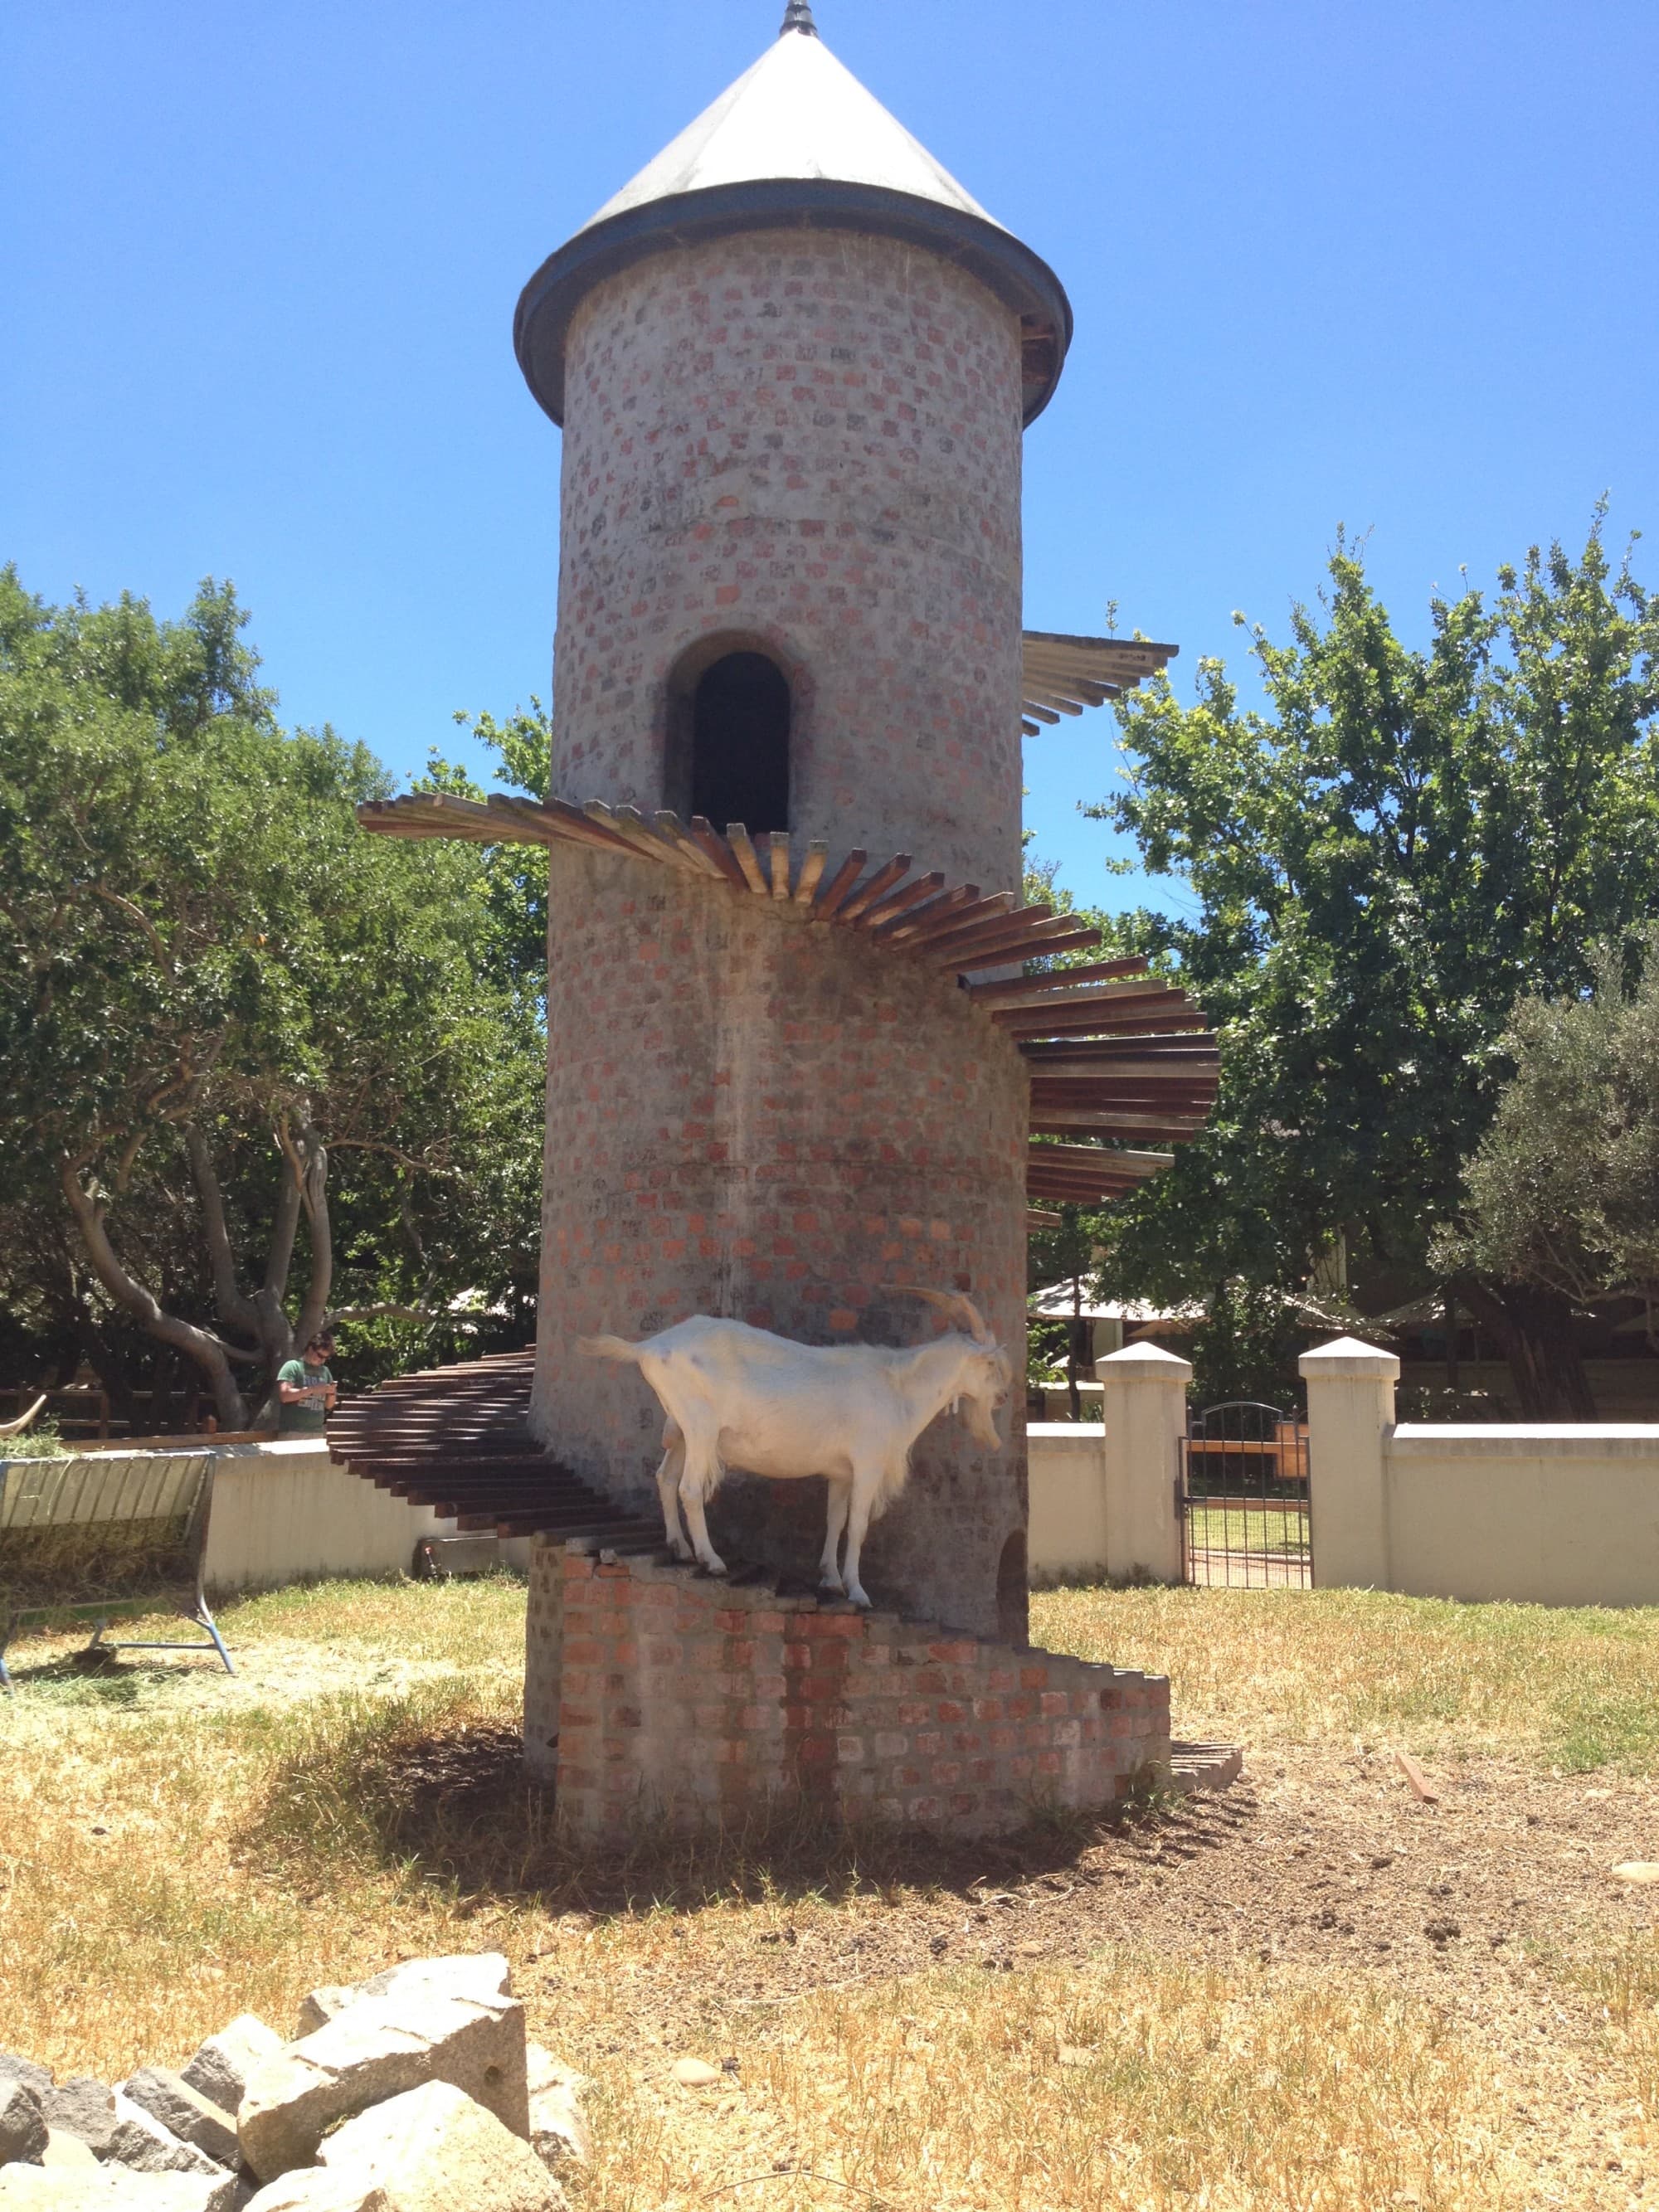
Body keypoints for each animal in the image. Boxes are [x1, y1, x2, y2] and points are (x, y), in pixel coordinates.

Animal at [579, 1291, 1013, 1619]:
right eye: (990, 1363)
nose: (1004, 1398)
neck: (899, 1389)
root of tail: (649, 1347)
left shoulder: (841, 1472)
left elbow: (835, 1520)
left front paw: (830, 1579)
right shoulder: (868, 1463)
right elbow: (858, 1526)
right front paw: (857, 1591)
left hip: (682, 1431)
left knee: (666, 1478)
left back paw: (680, 1548)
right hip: (701, 1427)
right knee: (689, 1488)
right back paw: (710, 1559)